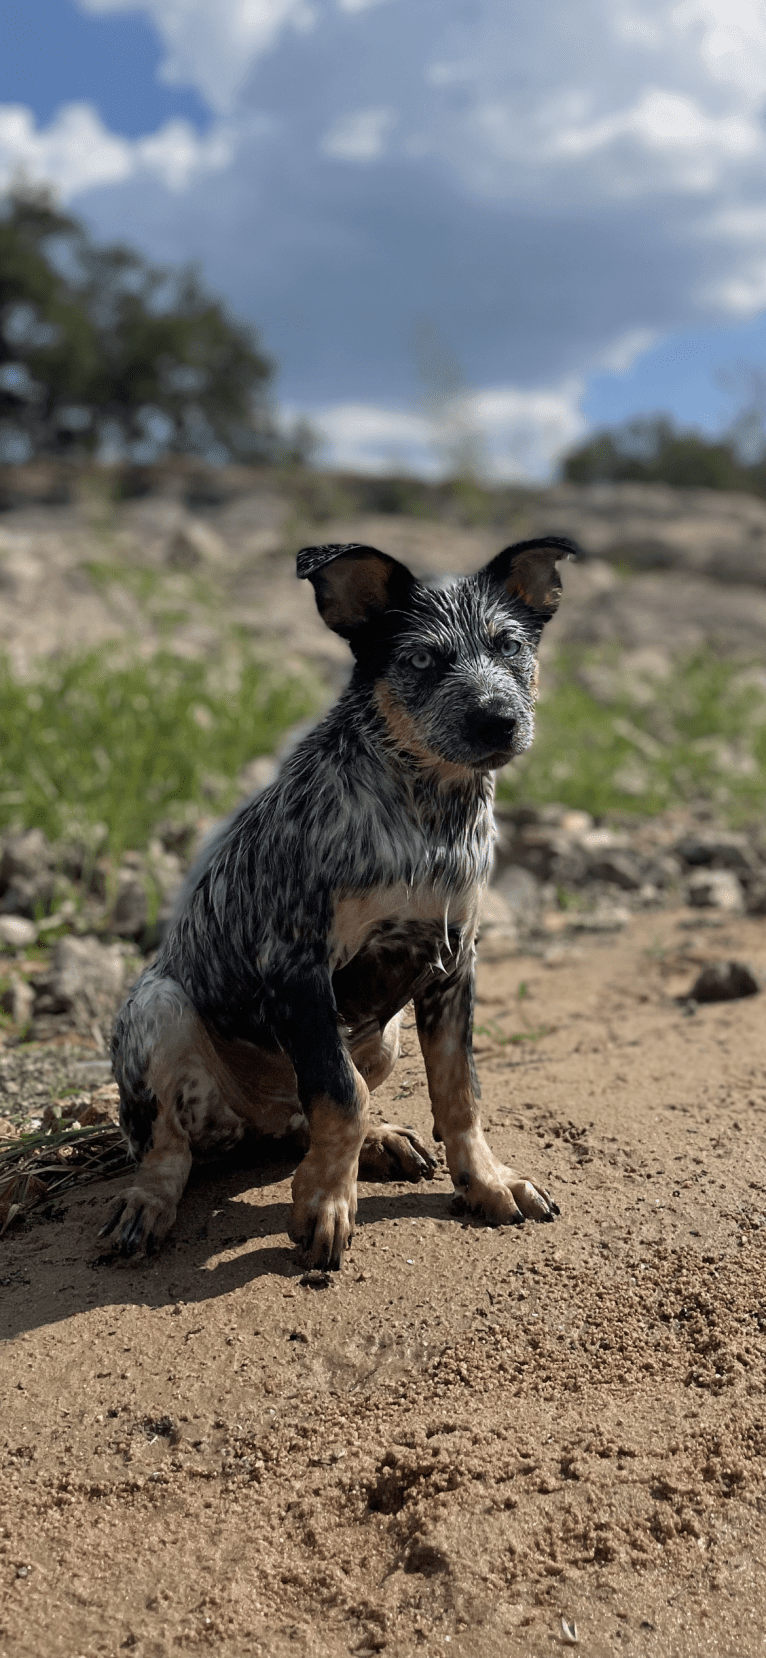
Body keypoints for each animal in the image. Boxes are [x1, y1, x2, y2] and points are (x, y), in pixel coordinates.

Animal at [104, 530, 576, 1266]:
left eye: (509, 647)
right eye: (420, 658)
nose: (499, 722)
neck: (429, 814)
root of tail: (258, 1122)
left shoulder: (453, 964)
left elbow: (459, 1092)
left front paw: (486, 1182)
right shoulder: (297, 963)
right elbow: (338, 1092)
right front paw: (325, 1203)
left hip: (384, 1034)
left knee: (310, 1115)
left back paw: (380, 1143)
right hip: (158, 1009)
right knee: (169, 1148)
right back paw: (147, 1205)